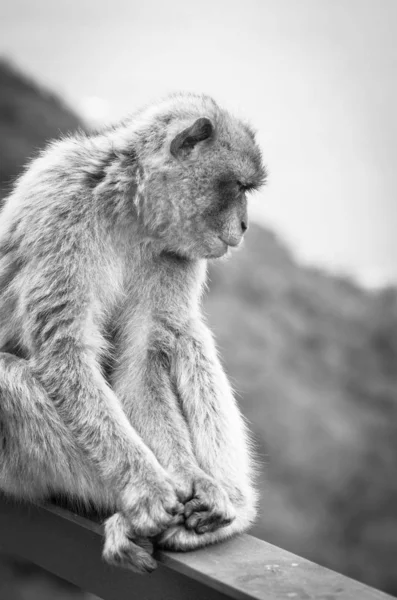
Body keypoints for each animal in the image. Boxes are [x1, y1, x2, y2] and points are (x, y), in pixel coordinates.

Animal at [0, 92, 266, 572]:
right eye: (239, 188)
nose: (244, 226)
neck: (130, 212)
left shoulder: (176, 253)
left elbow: (143, 361)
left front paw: (190, 477)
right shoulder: (62, 208)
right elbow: (66, 352)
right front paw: (147, 488)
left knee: (183, 335)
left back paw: (228, 505)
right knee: (7, 379)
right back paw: (128, 513)